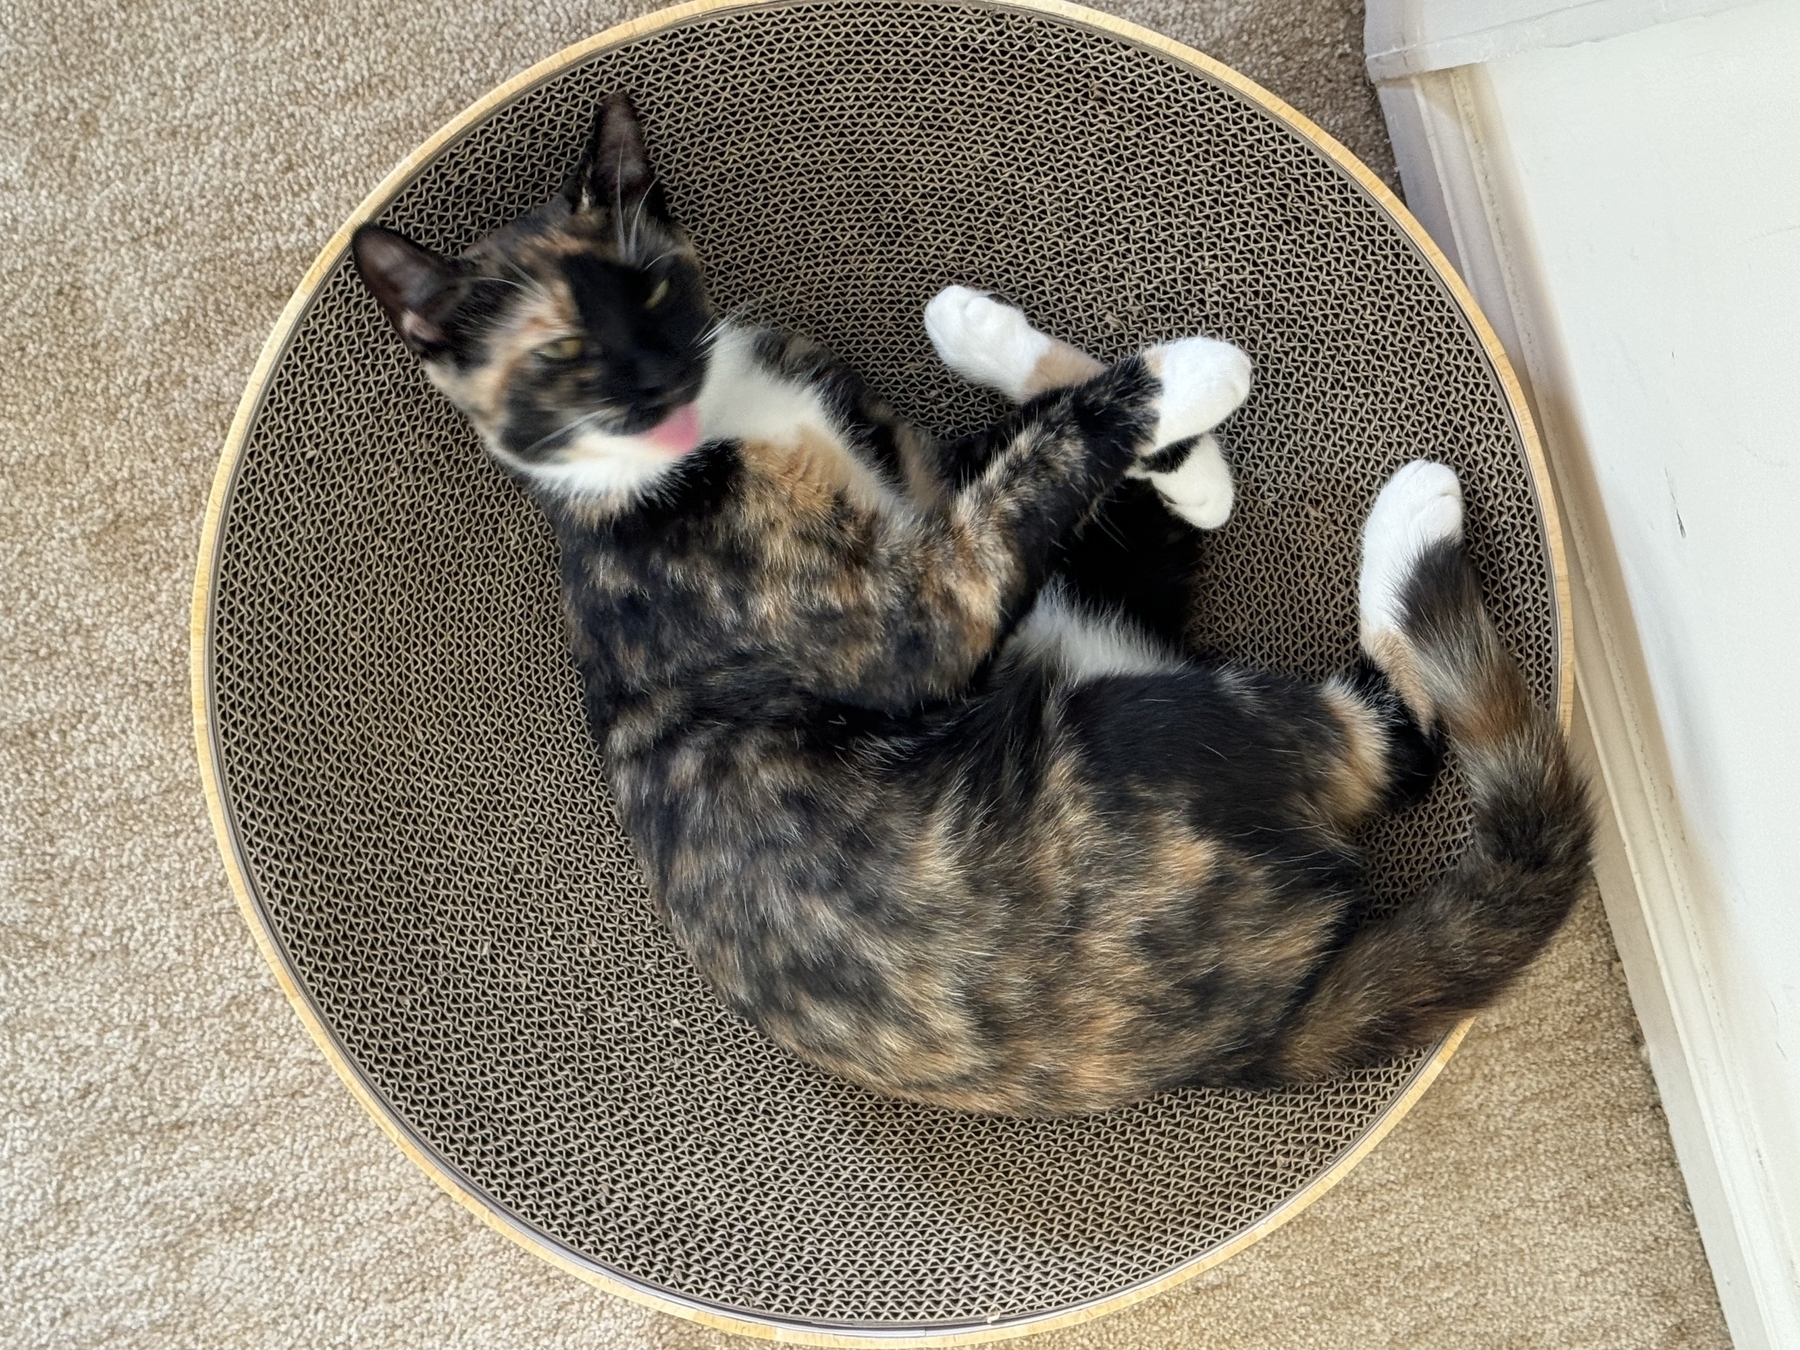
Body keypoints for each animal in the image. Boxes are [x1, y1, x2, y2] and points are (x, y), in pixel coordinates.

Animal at [351, 92, 1591, 1108]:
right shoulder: (920, 610)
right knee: (1395, 741)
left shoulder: (931, 488)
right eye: (563, 349)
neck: (713, 435)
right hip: (1138, 733)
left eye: (654, 285)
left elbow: (1037, 440)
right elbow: (1051, 453)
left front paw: (996, 340)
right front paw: (1192, 374)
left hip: (1101, 629)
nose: (659, 375)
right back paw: (1416, 519)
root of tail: (1256, 1044)